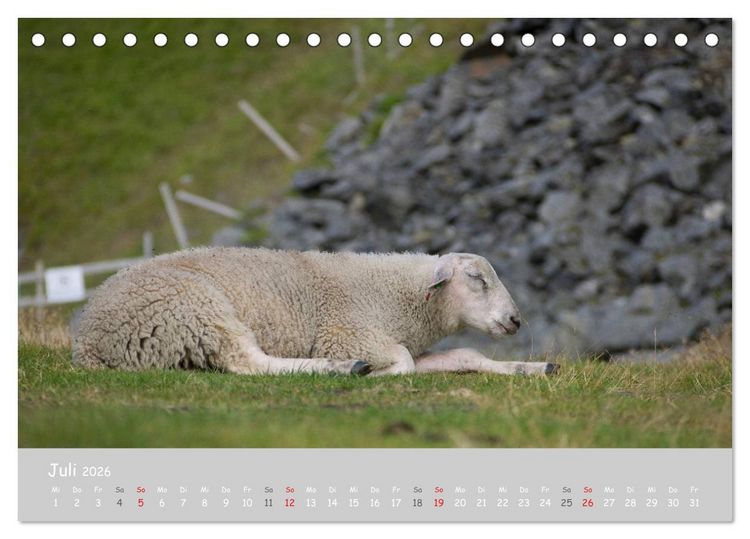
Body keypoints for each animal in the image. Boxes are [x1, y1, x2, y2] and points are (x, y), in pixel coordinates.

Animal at [72, 247, 559, 376]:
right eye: (477, 279)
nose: (516, 321)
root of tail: (88, 341)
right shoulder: (348, 332)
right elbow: (402, 363)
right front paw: (374, 372)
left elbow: (465, 357)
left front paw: (533, 368)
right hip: (196, 309)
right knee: (250, 363)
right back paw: (341, 369)